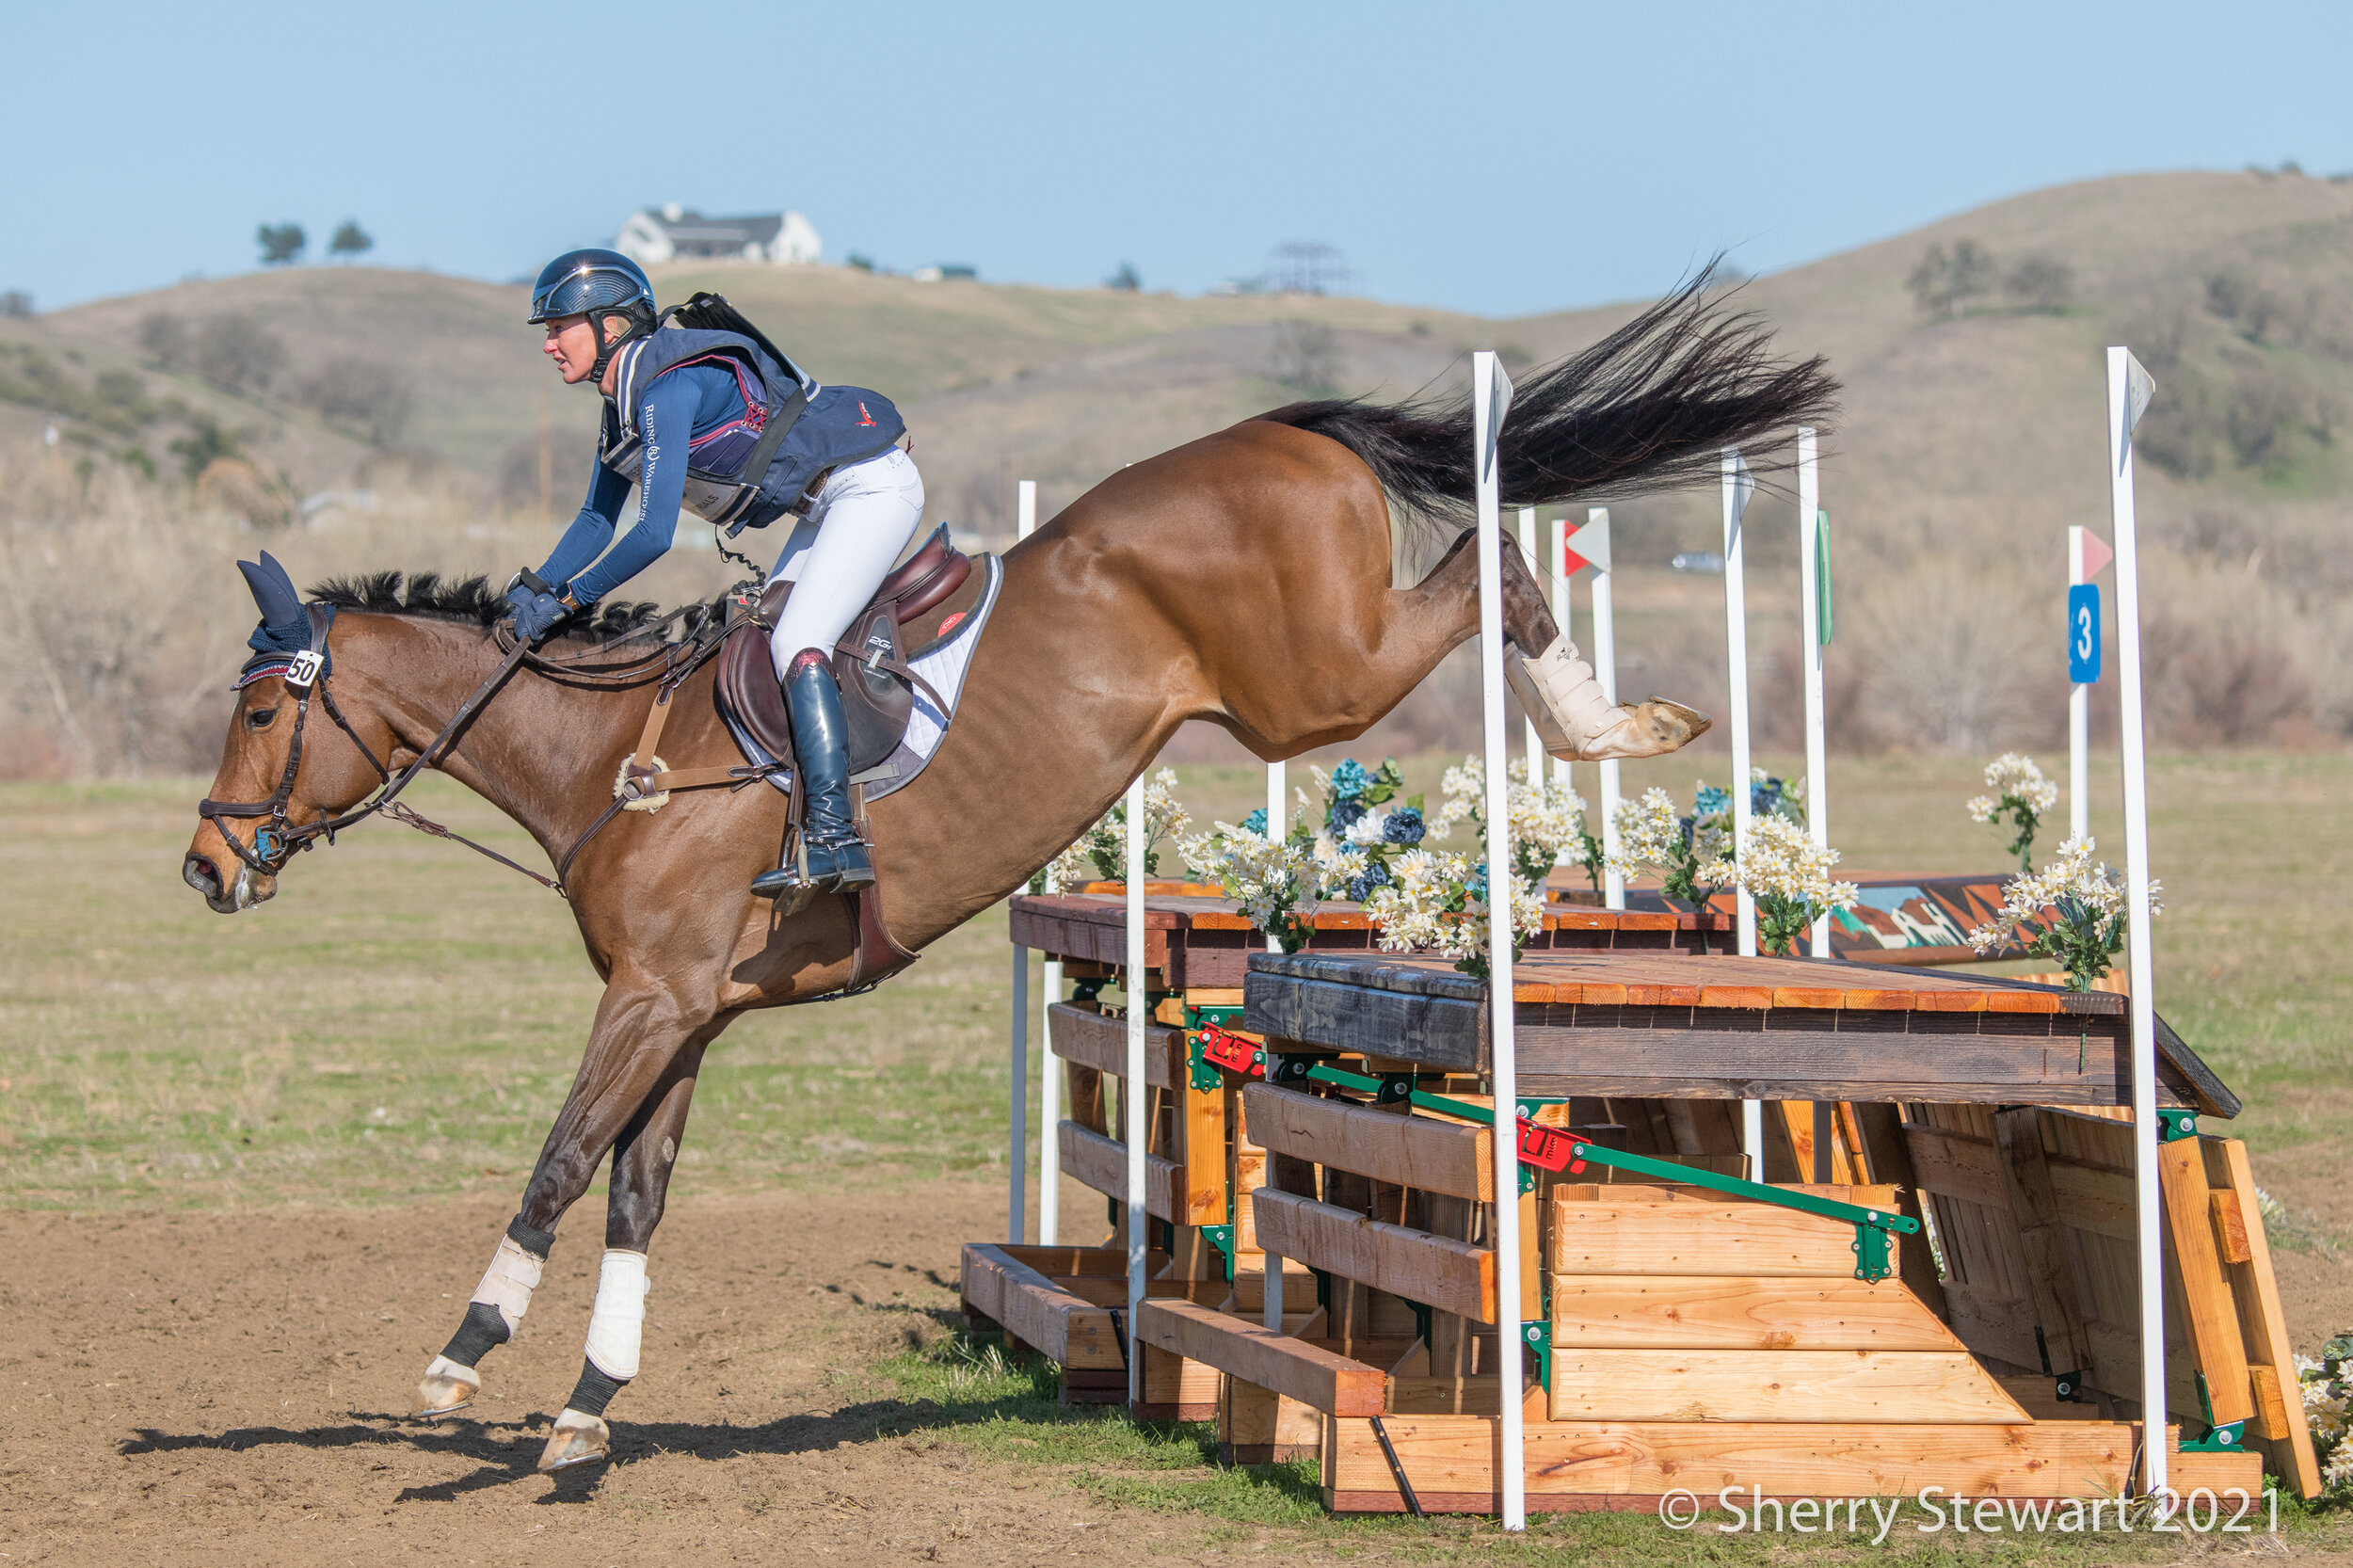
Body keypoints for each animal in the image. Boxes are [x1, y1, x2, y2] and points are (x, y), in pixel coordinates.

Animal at [184, 278, 1835, 1468]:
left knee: (1489, 559)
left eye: (262, 710)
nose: (203, 867)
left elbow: (558, 1160)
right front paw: (589, 1405)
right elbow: (636, 1191)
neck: (608, 757)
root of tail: (1287, 431)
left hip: (1316, 682)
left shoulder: (651, 998)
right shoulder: (688, 1008)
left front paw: (462, 1357)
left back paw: (1616, 723)